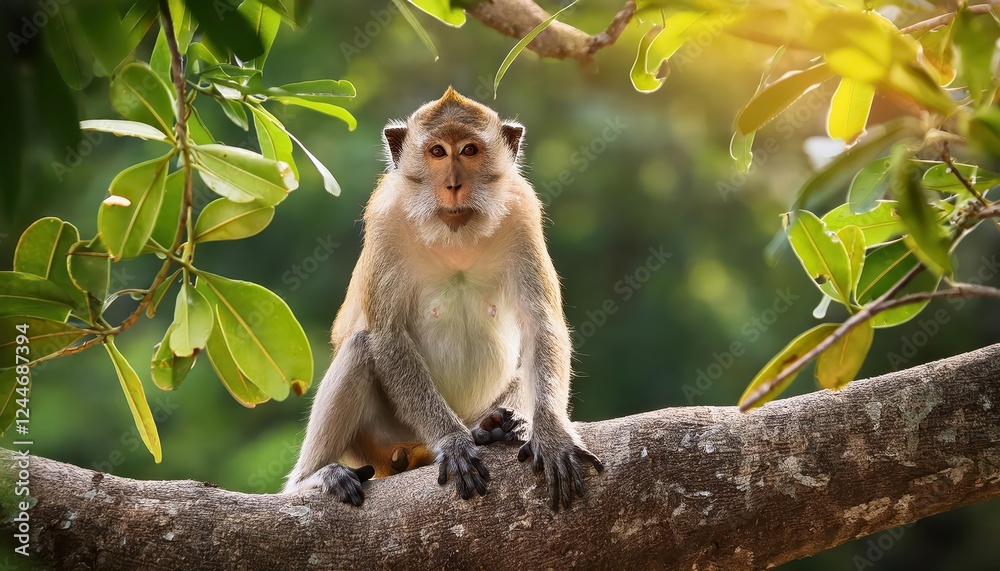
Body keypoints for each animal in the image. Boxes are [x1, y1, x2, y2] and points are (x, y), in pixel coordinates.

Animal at [283, 87, 603, 510]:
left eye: (469, 150)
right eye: (437, 152)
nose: (453, 185)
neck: (456, 236)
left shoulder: (522, 213)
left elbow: (541, 325)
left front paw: (551, 435)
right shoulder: (386, 218)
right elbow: (387, 335)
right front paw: (452, 442)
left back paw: (495, 426)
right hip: (380, 440)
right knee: (360, 347)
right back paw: (311, 478)